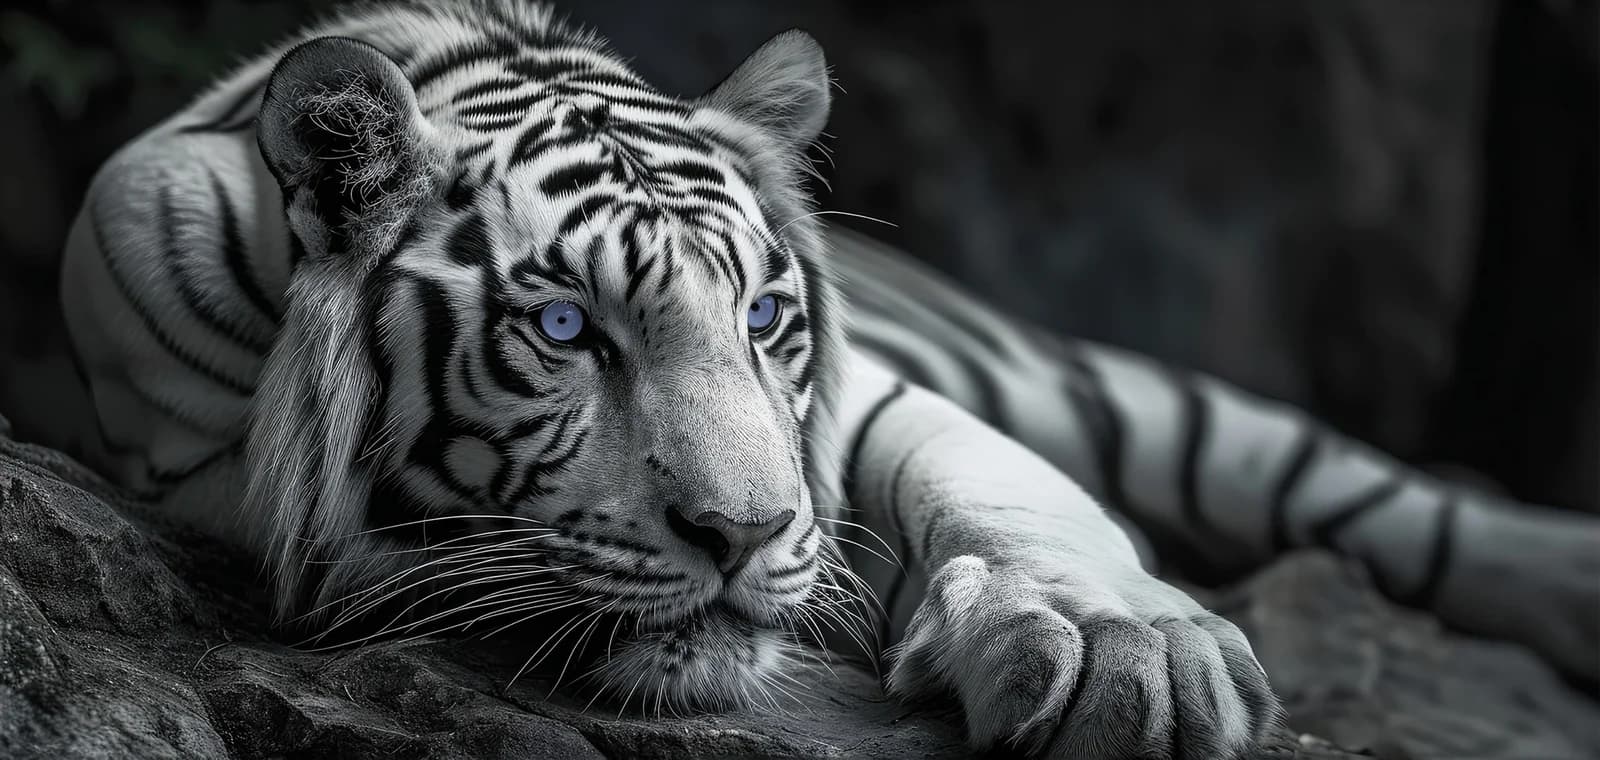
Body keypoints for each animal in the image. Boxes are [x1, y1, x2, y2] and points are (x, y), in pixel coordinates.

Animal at [51, 1, 1597, 758]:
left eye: (766, 319)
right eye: (562, 329)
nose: (742, 539)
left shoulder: (878, 407)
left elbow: (1007, 492)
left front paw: (1127, 656)